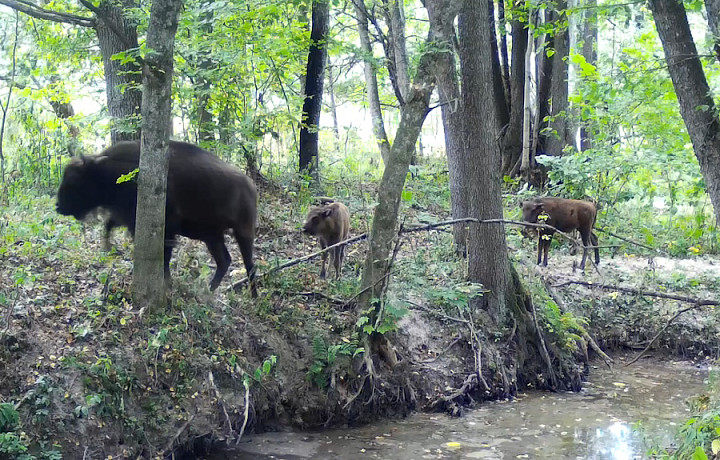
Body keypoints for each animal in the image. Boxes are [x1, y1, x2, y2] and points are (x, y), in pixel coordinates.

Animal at [57, 141, 258, 298]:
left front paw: (166, 281)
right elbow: (109, 225)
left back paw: (253, 296)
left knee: (249, 264)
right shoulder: (126, 218)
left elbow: (165, 256)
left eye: (74, 181)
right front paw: (108, 247)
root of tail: (251, 186)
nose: (58, 206)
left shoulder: (166, 228)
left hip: (242, 232)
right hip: (212, 236)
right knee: (224, 261)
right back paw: (208, 290)